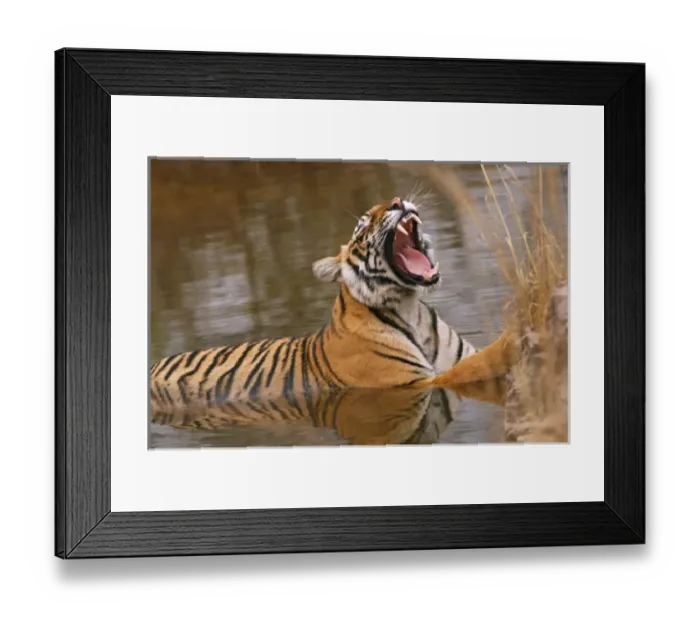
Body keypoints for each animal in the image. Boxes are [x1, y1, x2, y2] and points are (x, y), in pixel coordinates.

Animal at [149, 196, 516, 439]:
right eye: (364, 224)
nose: (397, 201)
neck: (410, 307)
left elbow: (473, 363)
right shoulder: (413, 384)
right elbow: (473, 368)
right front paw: (514, 333)